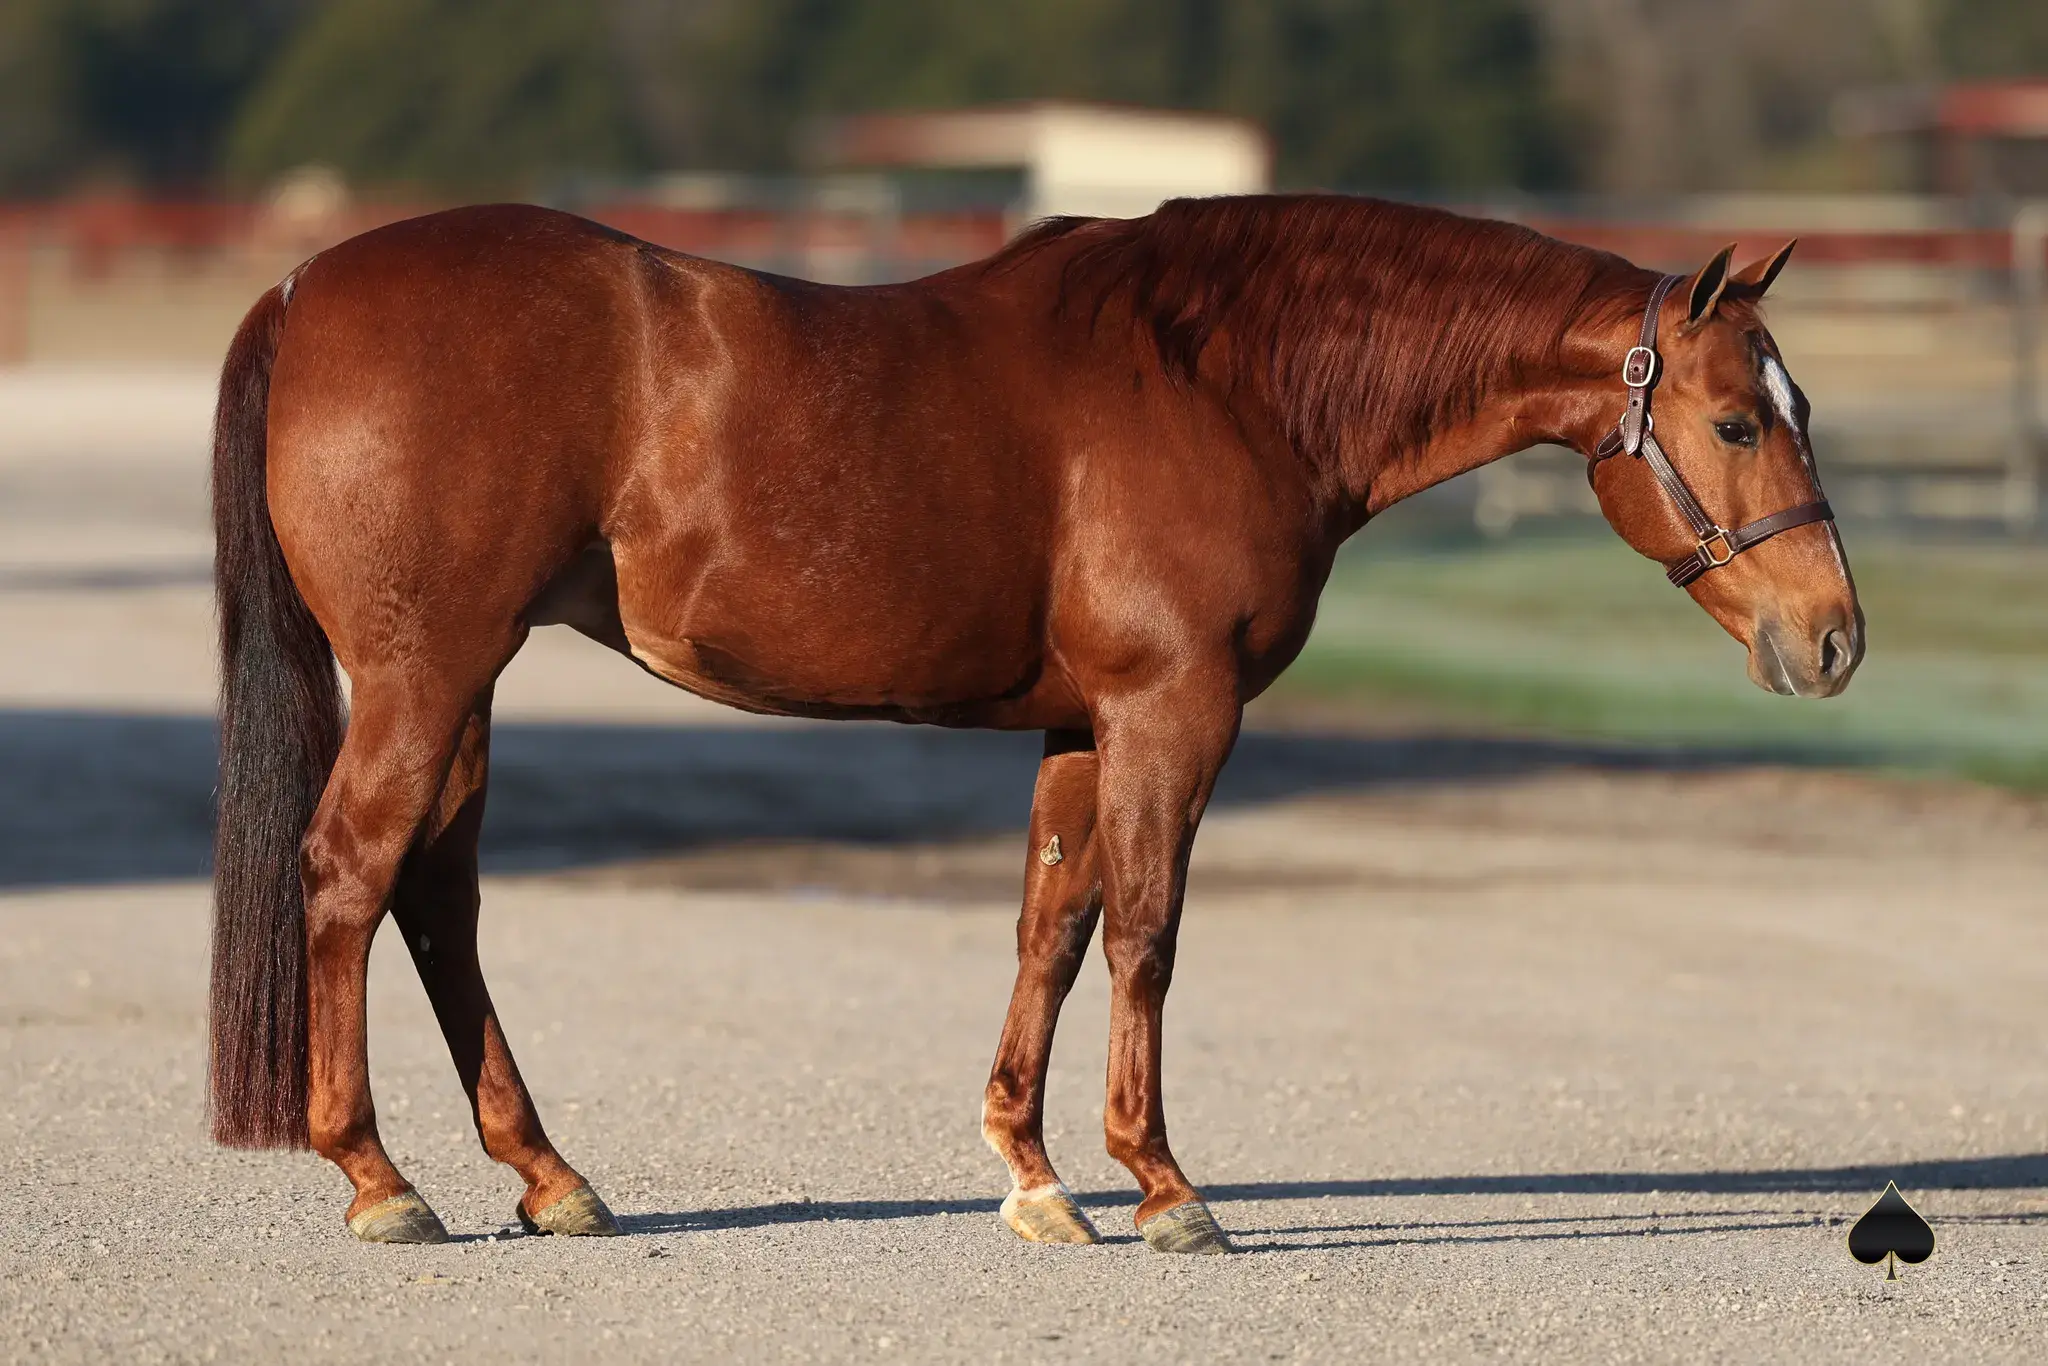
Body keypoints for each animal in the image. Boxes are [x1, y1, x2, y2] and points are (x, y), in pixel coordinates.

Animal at [208, 194, 1861, 1253]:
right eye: (1735, 420)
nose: (1836, 635)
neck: (1224, 375)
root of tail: (302, 289)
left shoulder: (1083, 727)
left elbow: (1052, 928)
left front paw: (1035, 1173)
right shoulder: (1171, 713)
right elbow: (1146, 935)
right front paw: (1165, 1185)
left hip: (463, 680)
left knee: (437, 894)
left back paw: (547, 1174)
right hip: (426, 670)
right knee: (351, 873)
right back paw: (379, 1178)